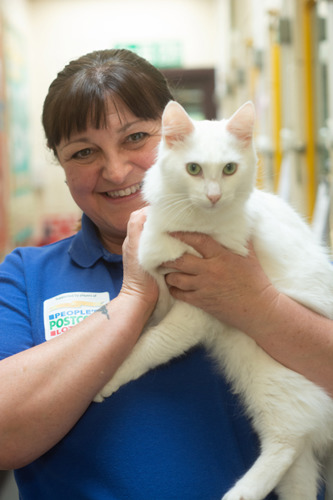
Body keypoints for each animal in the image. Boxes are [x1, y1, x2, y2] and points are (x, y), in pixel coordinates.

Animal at [94, 99, 332, 498]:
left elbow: (150, 345)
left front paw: (110, 376)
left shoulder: (198, 309)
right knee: (295, 468)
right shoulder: (161, 286)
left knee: (285, 443)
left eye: (229, 169)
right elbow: (148, 306)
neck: (193, 224)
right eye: (193, 169)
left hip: (271, 383)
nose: (214, 196)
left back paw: (239, 493)